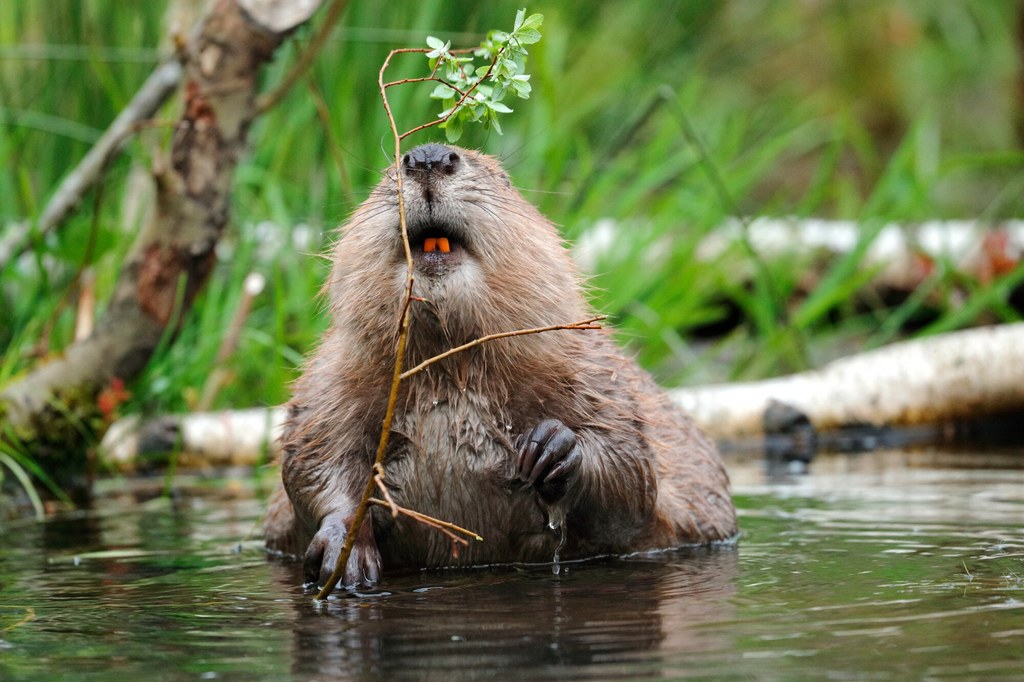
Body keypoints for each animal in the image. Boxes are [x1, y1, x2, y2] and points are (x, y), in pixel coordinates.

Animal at [260, 142, 733, 585]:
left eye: (503, 178)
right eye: (386, 173)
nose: (427, 156)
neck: (448, 368)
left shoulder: (595, 371)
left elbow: (631, 474)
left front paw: (552, 448)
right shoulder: (330, 376)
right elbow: (313, 457)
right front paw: (346, 554)